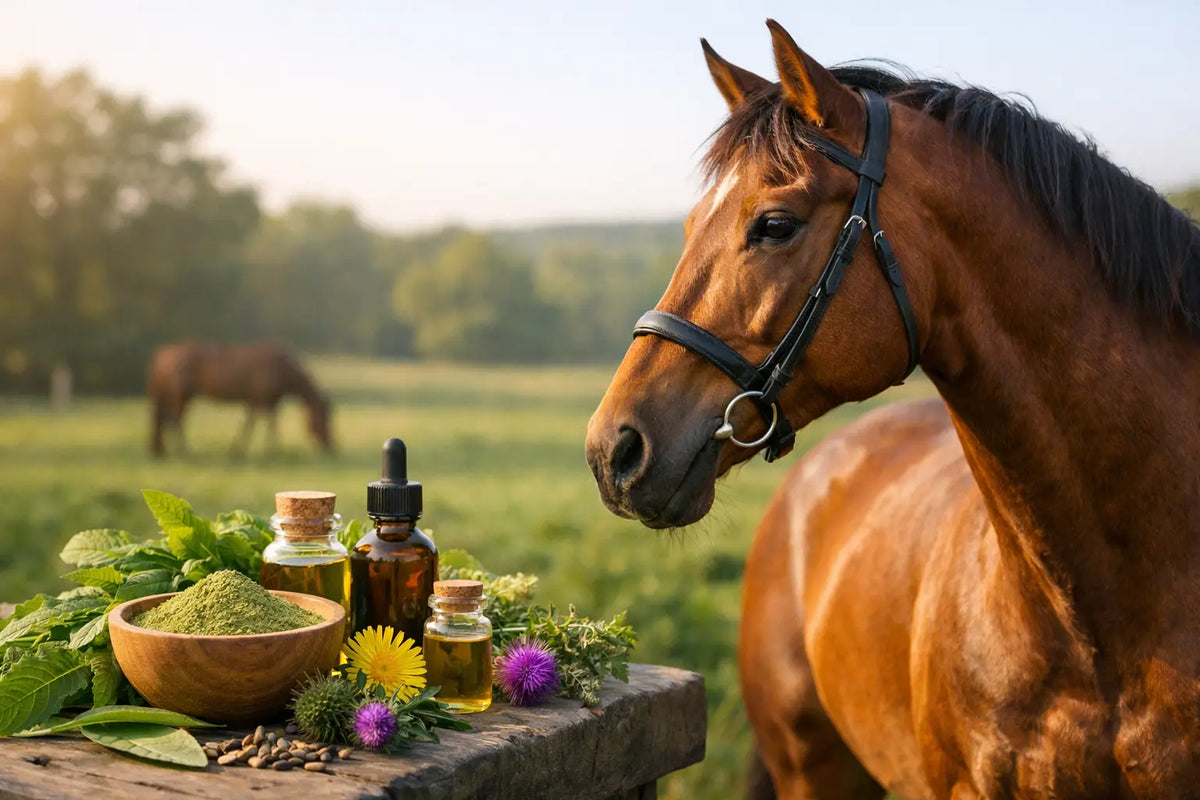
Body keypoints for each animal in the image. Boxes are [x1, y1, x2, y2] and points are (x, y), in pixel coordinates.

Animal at [147, 342, 333, 457]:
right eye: (323, 420)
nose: (329, 446)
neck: (284, 370)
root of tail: (163, 356)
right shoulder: (261, 400)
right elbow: (264, 425)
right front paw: (274, 451)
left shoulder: (261, 401)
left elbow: (253, 425)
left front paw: (238, 451)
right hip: (182, 396)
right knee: (174, 420)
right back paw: (184, 450)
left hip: (171, 396)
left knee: (165, 420)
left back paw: (163, 450)